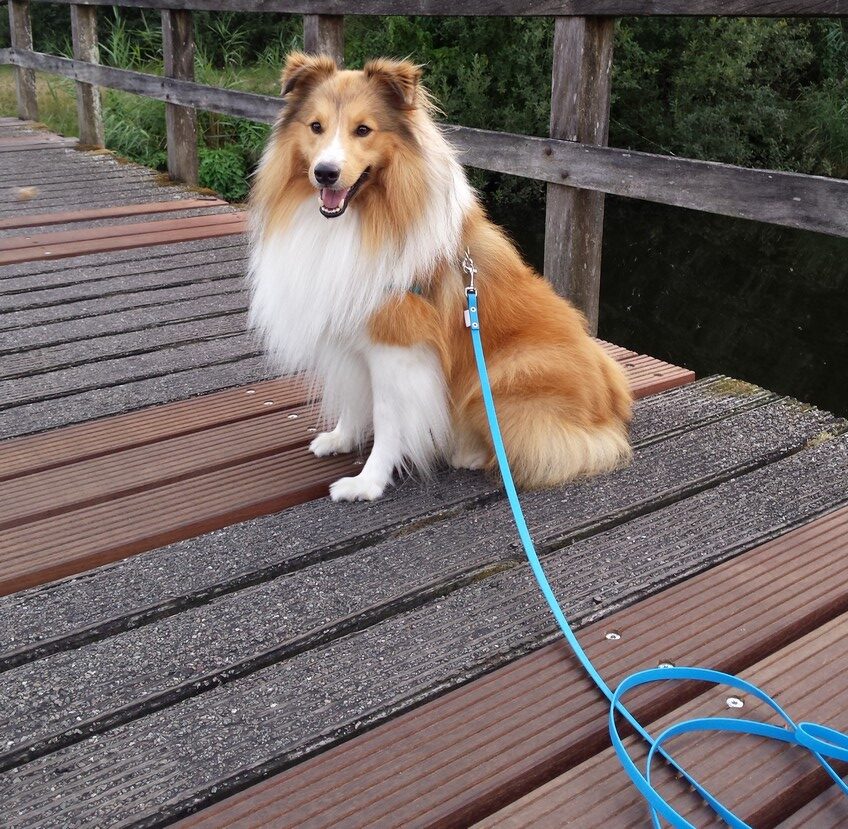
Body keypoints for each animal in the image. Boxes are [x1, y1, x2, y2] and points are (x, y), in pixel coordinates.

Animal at [245, 56, 628, 504]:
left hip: (503, 374)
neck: (360, 218)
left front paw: (368, 483)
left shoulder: (397, 349)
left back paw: (468, 452)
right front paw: (341, 438)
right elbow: (356, 400)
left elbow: (388, 420)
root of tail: (611, 405)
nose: (325, 173)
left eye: (363, 129)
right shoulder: (351, 335)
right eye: (316, 126)